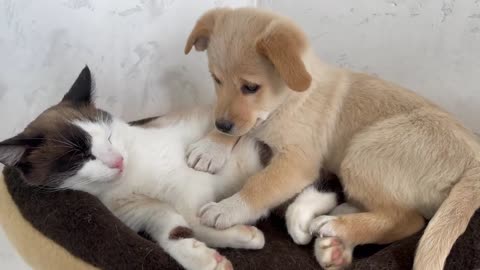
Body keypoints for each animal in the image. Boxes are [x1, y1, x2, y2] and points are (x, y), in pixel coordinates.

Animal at [0, 66, 274, 270]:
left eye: (109, 136)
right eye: (81, 156)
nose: (118, 161)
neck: (123, 183)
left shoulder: (191, 184)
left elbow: (197, 215)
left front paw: (241, 229)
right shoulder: (139, 210)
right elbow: (177, 225)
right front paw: (209, 256)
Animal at [184, 6, 480, 270]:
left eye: (250, 87)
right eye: (216, 79)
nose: (221, 125)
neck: (291, 100)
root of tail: (474, 162)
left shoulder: (298, 161)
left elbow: (261, 184)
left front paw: (227, 209)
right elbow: (243, 126)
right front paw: (210, 147)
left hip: (363, 152)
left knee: (408, 220)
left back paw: (337, 227)